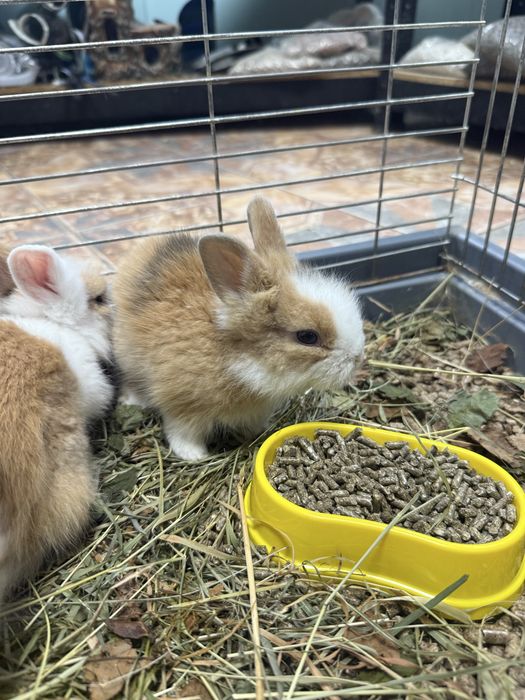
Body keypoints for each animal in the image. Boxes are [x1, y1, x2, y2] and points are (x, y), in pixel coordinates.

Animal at [112, 196, 365, 461]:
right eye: (307, 336)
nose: (358, 358)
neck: (234, 357)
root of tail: (143, 249)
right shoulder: (182, 406)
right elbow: (182, 433)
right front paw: (195, 456)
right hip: (127, 357)